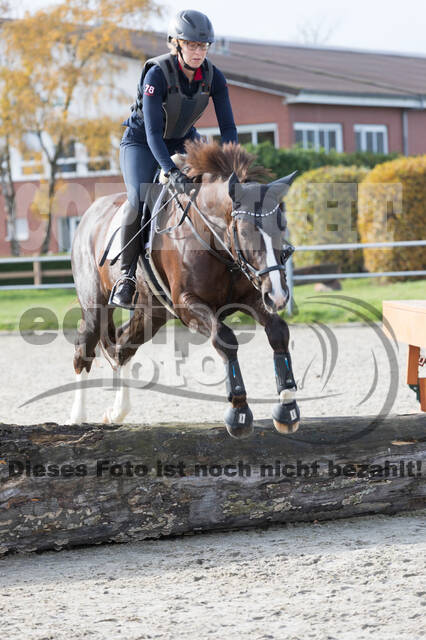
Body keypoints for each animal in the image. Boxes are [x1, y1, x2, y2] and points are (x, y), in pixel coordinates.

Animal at [69, 141, 300, 438]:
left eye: (282, 227)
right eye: (246, 232)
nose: (279, 296)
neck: (214, 239)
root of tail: (88, 215)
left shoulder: (251, 297)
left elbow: (278, 332)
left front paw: (287, 407)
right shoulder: (187, 304)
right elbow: (224, 338)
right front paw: (238, 412)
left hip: (152, 312)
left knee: (123, 346)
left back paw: (117, 412)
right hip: (94, 306)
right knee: (84, 349)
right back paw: (77, 417)